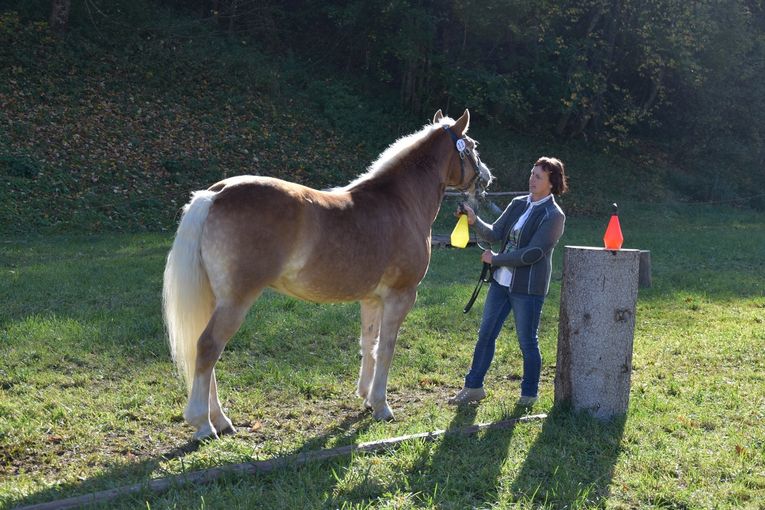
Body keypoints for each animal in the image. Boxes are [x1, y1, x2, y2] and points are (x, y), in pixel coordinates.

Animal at [163, 107, 492, 438]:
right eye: (472, 145)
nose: (487, 177)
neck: (401, 201)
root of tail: (214, 194)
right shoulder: (401, 295)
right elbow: (386, 349)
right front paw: (381, 406)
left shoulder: (372, 299)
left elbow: (369, 345)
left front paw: (366, 398)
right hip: (235, 301)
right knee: (208, 347)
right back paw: (204, 424)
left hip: (214, 300)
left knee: (204, 352)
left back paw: (220, 419)